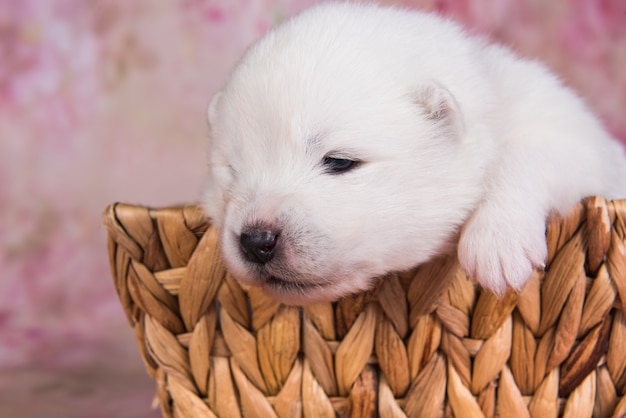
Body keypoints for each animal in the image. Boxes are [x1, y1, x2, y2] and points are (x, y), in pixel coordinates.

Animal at [201, 2, 624, 304]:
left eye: (339, 162)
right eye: (232, 170)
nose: (256, 241)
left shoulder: (578, 140)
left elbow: (528, 154)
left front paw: (496, 243)